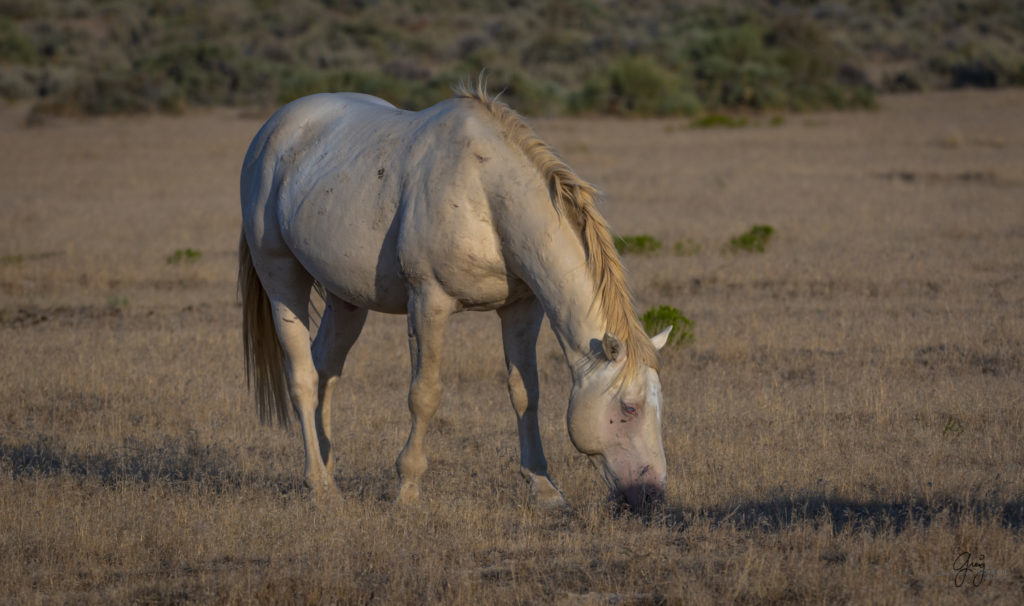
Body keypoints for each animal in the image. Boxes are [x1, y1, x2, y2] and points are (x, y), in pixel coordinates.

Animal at [238, 83, 671, 511]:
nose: (652, 494)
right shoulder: (428, 304)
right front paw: (408, 488)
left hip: (347, 300)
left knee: (326, 369)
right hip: (282, 281)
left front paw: (544, 487)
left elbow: (525, 393)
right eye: (628, 408)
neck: (485, 192)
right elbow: (424, 395)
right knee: (303, 376)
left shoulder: (522, 310)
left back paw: (329, 473)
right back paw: (319, 485)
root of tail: (274, 128)